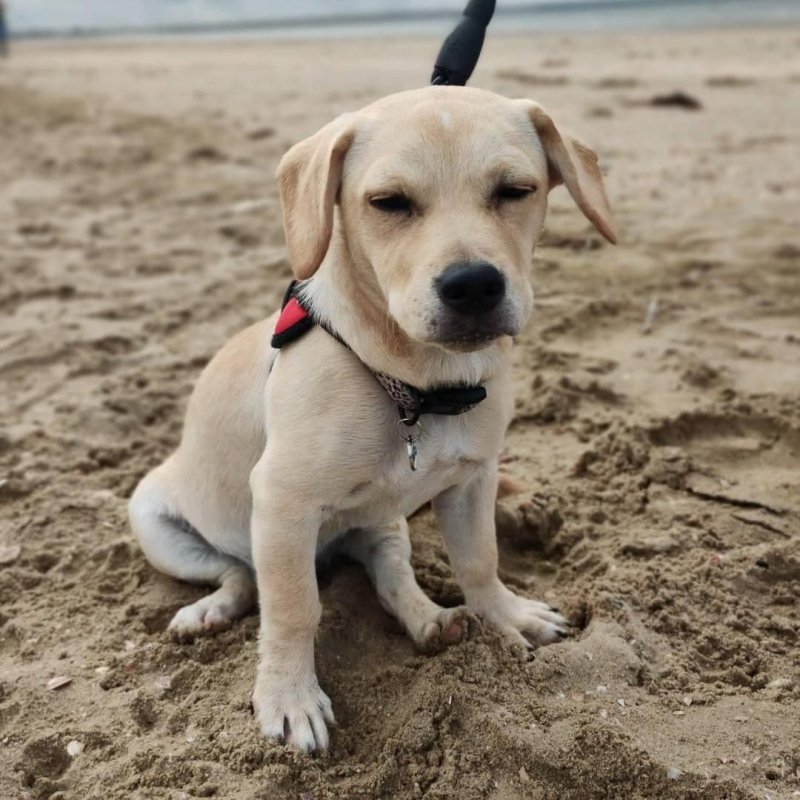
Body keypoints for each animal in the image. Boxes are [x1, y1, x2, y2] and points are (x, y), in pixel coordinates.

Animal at [128, 85, 616, 752]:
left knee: (387, 573)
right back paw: (209, 611)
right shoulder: (281, 503)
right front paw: (289, 697)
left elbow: (480, 561)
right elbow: (293, 609)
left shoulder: (473, 480)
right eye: (389, 203)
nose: (473, 286)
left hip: (385, 523)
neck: (417, 387)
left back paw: (431, 621)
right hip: (158, 525)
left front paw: (507, 616)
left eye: (516, 190)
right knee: (240, 576)